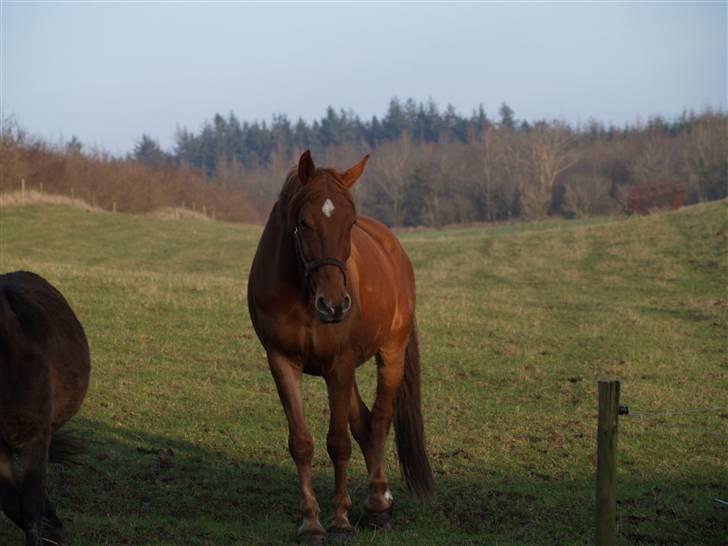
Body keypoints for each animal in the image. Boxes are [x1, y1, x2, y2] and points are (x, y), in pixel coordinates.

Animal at [249, 151, 432, 540]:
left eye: (350, 223)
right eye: (304, 222)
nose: (333, 305)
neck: (303, 295)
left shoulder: (341, 363)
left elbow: (338, 443)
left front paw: (340, 522)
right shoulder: (281, 361)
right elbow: (302, 444)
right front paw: (311, 523)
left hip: (389, 355)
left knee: (378, 421)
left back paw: (377, 505)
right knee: (364, 423)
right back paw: (380, 501)